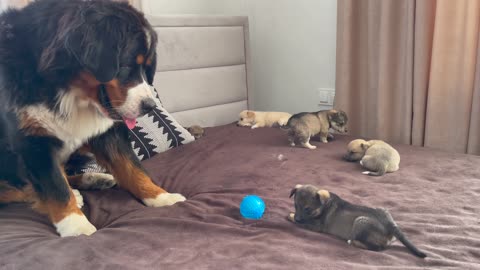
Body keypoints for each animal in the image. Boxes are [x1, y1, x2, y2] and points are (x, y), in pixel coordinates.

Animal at [0, 0, 186, 236]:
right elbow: (55, 186)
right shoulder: (33, 140)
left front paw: (160, 196)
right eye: (126, 66)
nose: (150, 106)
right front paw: (75, 225)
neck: (67, 91)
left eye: (146, 68)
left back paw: (93, 179)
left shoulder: (108, 135)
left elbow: (132, 167)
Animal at [288, 185, 428, 258]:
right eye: (295, 205)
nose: (297, 218)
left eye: (308, 209)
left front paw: (290, 216)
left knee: (377, 249)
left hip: (360, 222)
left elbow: (304, 222)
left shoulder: (317, 226)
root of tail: (390, 224)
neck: (324, 205)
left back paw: (354, 242)